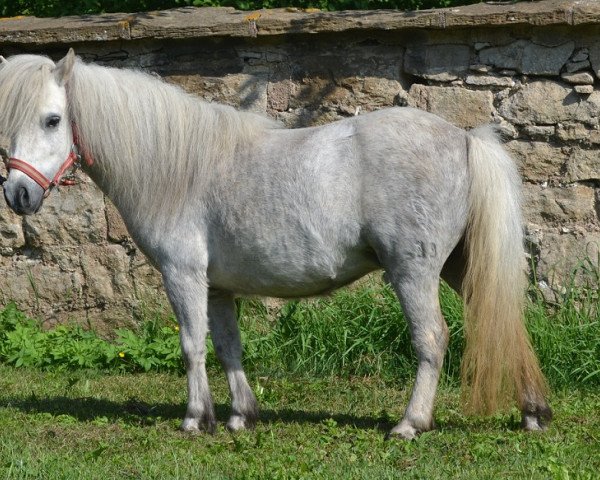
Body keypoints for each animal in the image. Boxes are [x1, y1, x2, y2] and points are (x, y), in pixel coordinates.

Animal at [0, 49, 552, 438]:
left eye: (52, 120)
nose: (17, 194)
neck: (179, 167)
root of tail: (465, 139)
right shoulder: (217, 286)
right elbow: (227, 346)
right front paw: (241, 416)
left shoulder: (182, 275)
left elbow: (192, 345)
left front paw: (196, 418)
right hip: (459, 267)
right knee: (504, 321)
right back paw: (533, 412)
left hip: (413, 271)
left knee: (433, 340)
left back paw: (410, 424)